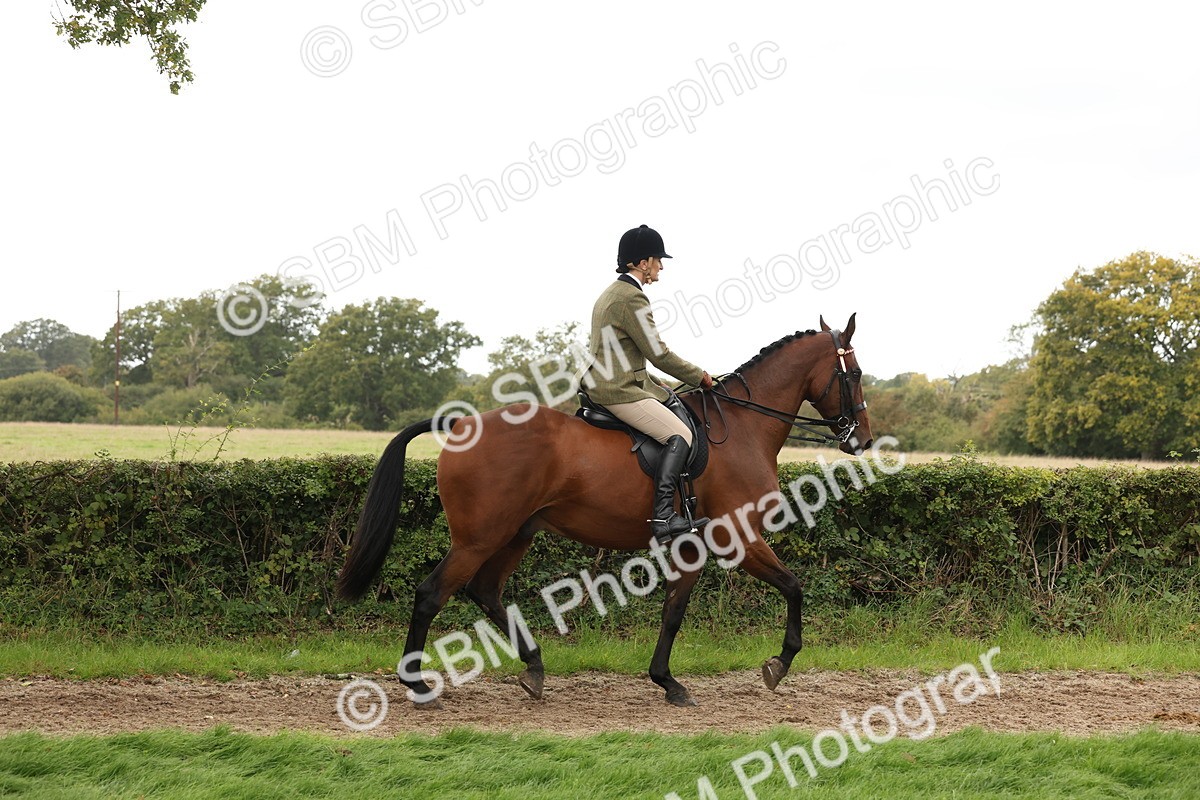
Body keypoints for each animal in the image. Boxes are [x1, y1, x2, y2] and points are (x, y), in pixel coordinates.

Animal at [336, 314, 873, 707]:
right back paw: (418, 684)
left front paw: (666, 681)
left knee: (485, 591)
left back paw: (534, 669)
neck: (742, 427)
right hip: (479, 538)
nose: (863, 441)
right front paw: (778, 666)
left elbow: (673, 611)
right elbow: (793, 586)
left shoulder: (693, 543)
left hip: (515, 534)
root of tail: (461, 424)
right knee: (431, 595)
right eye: (855, 375)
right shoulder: (736, 536)